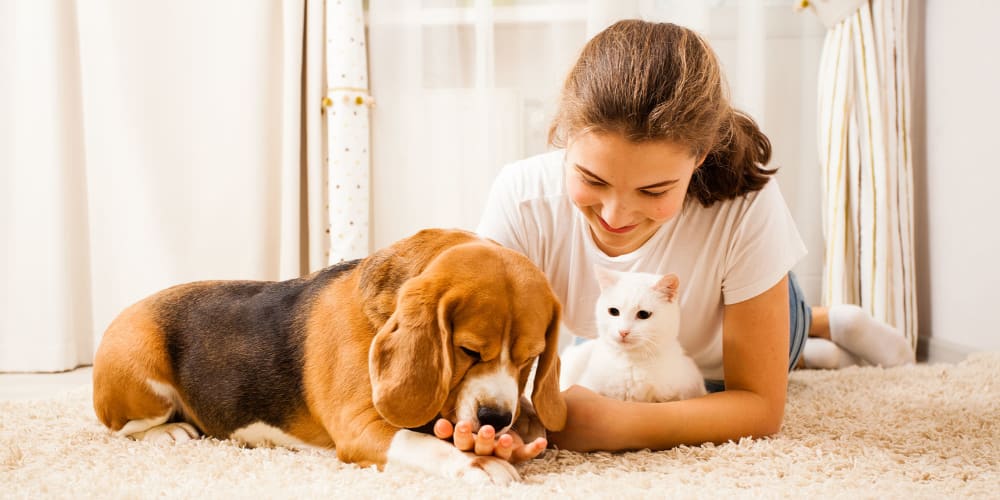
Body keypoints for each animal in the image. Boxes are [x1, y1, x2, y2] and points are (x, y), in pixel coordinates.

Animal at [91, 229, 568, 484]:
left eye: (529, 358)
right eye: (468, 350)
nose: (495, 419)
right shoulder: (360, 429)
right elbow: (422, 443)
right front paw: (480, 463)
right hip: (139, 373)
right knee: (123, 428)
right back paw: (170, 432)